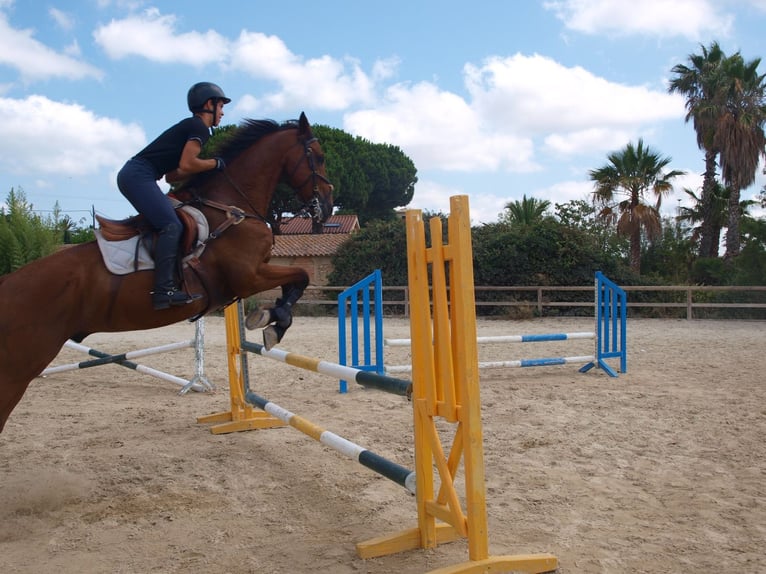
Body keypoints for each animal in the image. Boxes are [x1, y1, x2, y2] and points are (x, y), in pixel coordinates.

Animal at [0, 112, 333, 433]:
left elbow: (297, 280)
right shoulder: (248, 276)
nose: (328, 205)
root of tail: (7, 285)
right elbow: (301, 276)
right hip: (19, 367)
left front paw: (270, 320)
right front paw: (272, 322)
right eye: (318, 156)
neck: (233, 207)